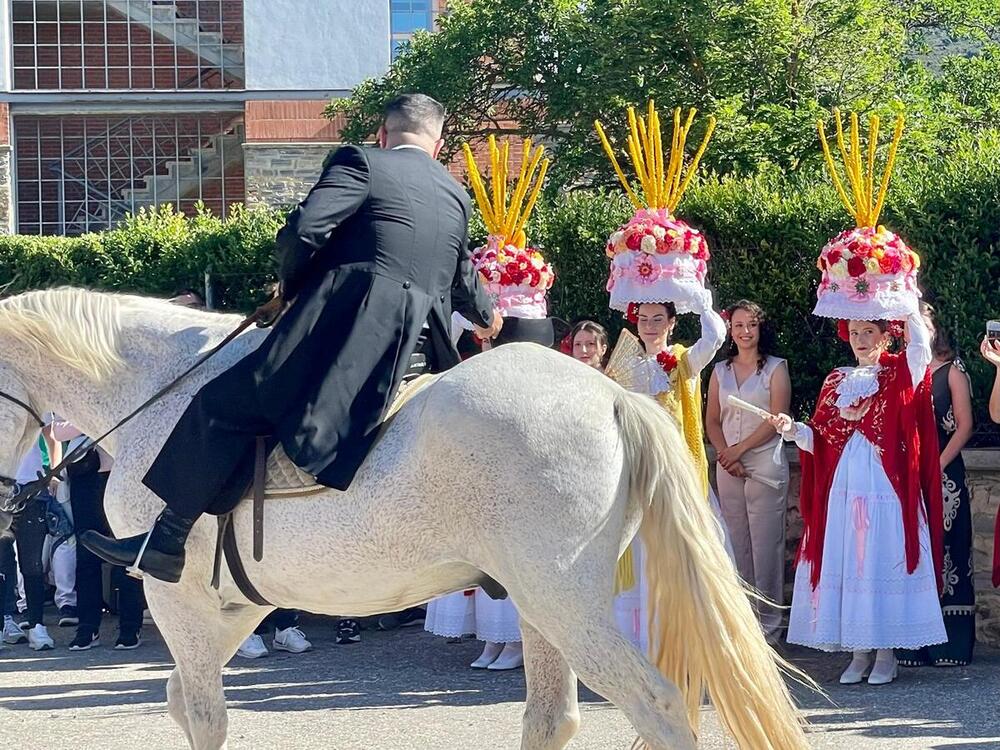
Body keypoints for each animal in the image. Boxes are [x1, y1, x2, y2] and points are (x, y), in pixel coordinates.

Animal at [0, 290, 808, 750]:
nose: (15, 510)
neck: (156, 387)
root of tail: (611, 394)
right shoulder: (232, 605)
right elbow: (184, 700)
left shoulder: (180, 599)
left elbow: (202, 714)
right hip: (543, 605)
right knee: (553, 718)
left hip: (567, 604)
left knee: (660, 705)